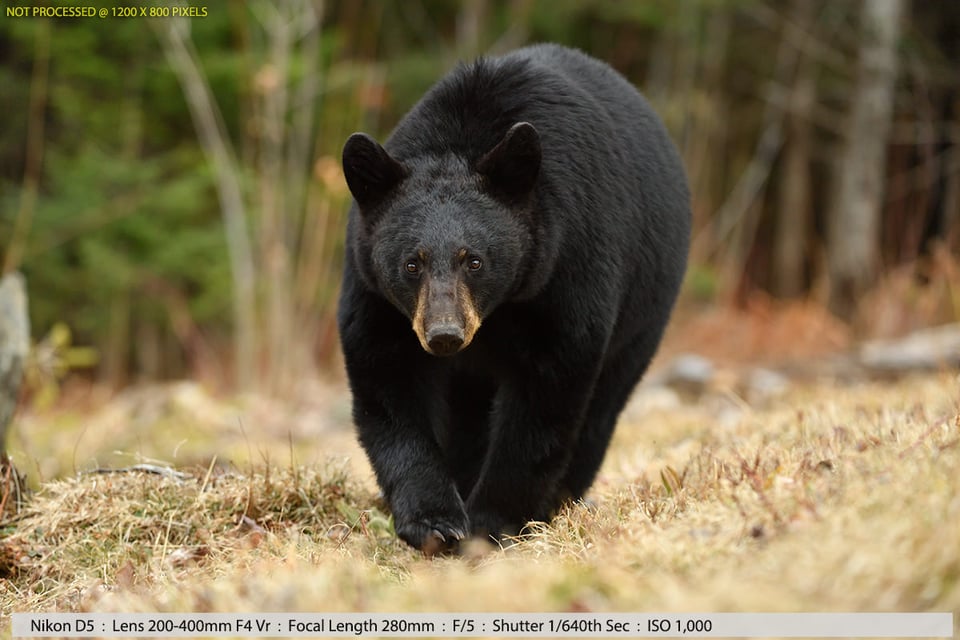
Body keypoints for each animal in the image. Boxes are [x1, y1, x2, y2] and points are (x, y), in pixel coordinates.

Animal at [338, 45, 688, 556]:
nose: (444, 335)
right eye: (411, 263)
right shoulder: (375, 293)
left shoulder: (566, 269)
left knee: (603, 405)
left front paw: (492, 522)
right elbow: (387, 382)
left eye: (474, 260)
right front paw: (435, 521)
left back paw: (560, 500)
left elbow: (545, 397)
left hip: (646, 309)